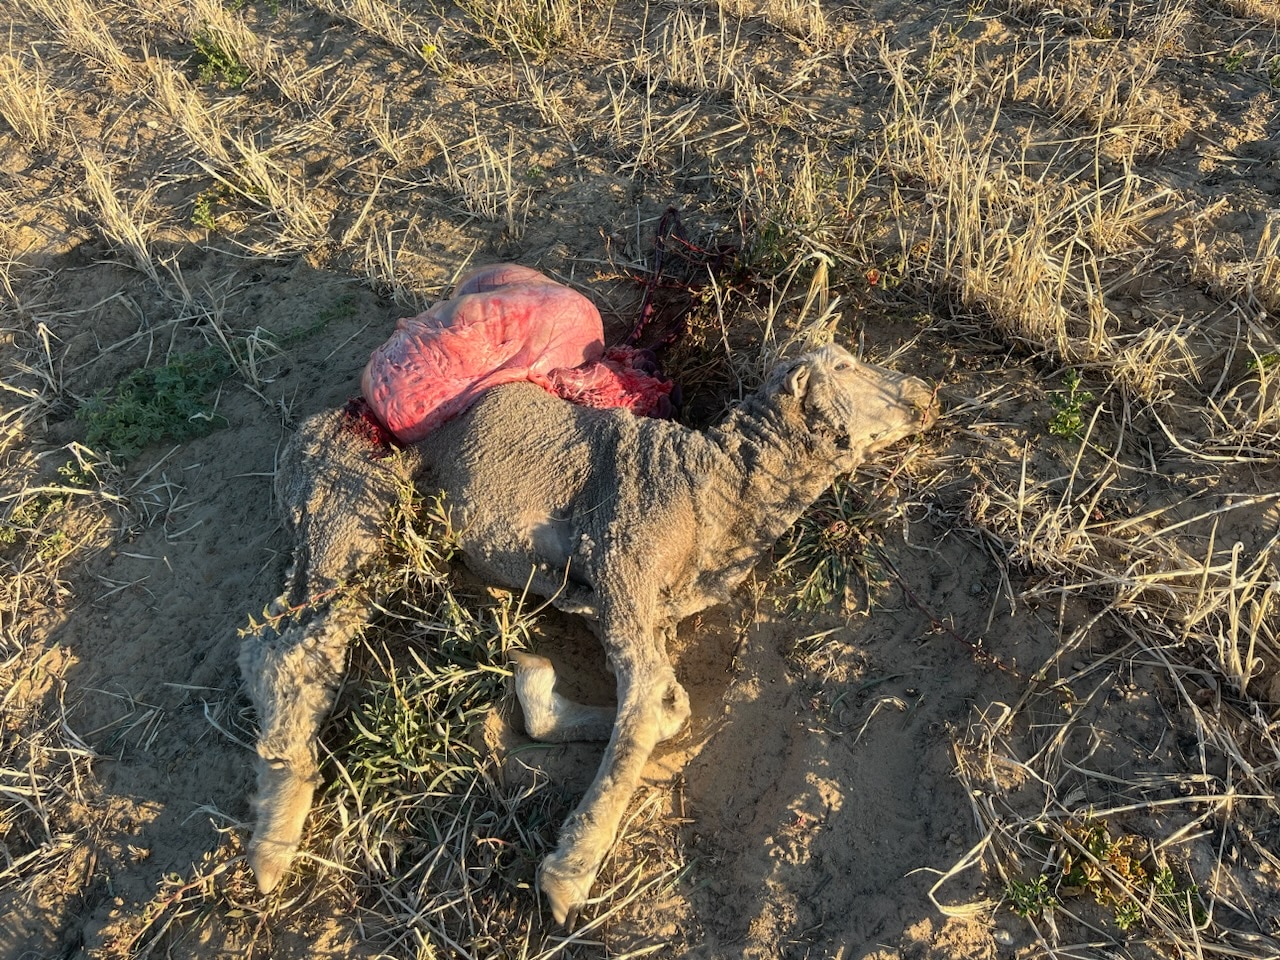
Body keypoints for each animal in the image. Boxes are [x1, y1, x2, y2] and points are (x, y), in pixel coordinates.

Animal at [238, 342, 938, 923]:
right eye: (843, 364)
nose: (923, 392)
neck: (713, 487)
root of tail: (323, 422)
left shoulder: (634, 606)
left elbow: (669, 707)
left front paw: (537, 689)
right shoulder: (626, 559)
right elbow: (647, 702)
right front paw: (571, 872)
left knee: (269, 646)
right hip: (352, 510)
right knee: (293, 649)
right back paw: (275, 839)